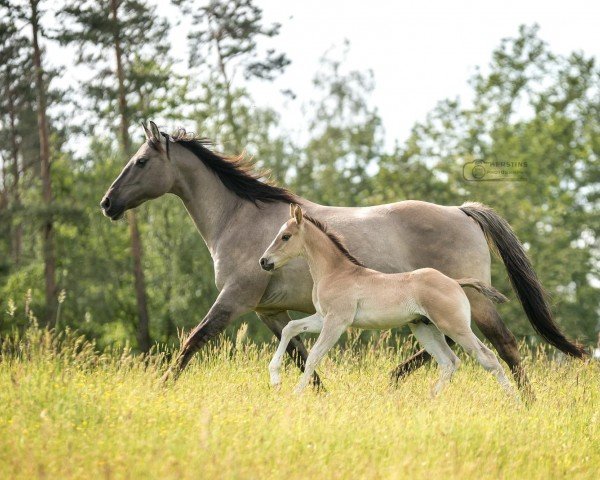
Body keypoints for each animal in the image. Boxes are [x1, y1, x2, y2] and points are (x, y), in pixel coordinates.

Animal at [258, 204, 516, 396]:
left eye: (285, 236)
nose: (264, 261)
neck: (336, 272)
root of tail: (455, 282)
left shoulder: (337, 321)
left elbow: (313, 357)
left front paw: (295, 394)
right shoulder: (322, 317)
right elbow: (290, 328)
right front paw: (275, 378)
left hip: (454, 326)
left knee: (487, 358)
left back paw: (515, 402)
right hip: (425, 329)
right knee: (449, 362)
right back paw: (431, 399)